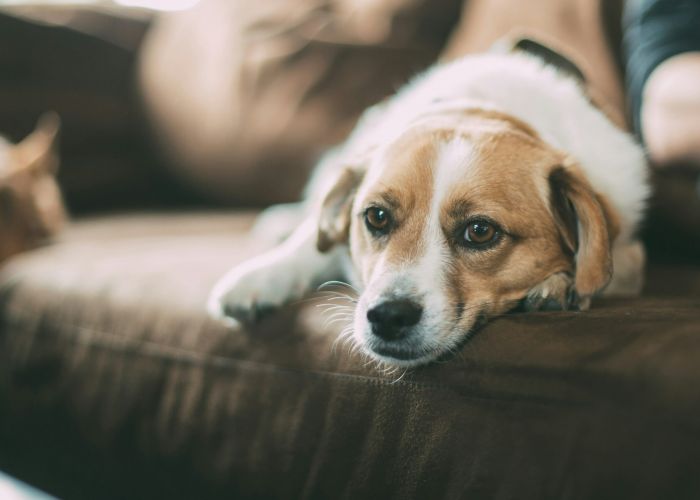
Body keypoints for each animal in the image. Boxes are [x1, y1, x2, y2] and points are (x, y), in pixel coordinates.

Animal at [205, 45, 648, 368]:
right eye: (376, 217)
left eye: (480, 231)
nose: (388, 317)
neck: (481, 108)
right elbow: (309, 243)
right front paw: (262, 276)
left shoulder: (628, 250)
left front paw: (560, 283)